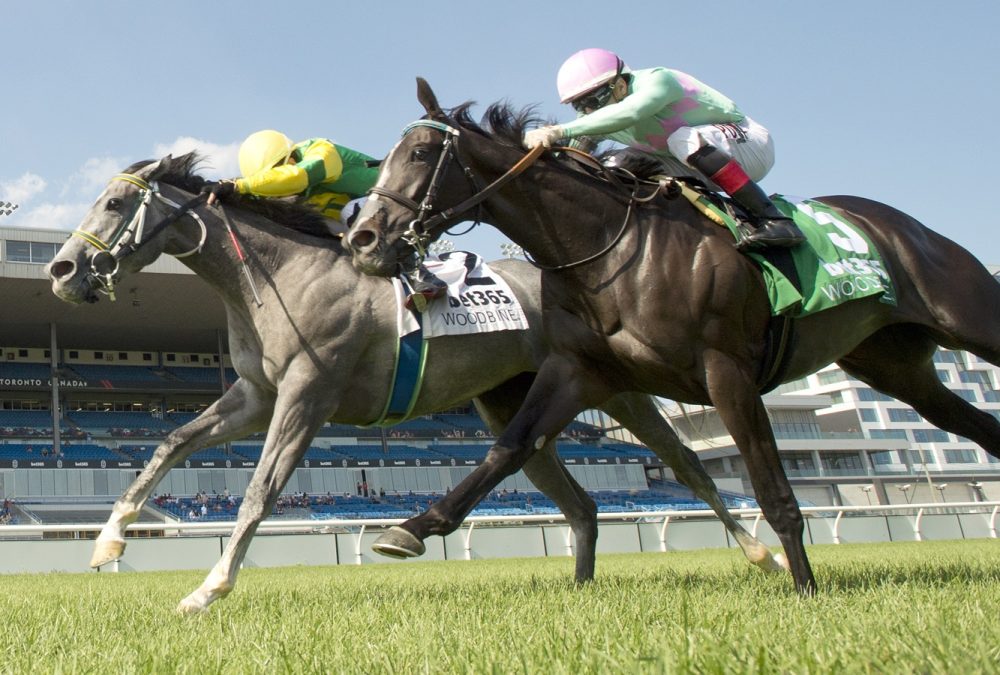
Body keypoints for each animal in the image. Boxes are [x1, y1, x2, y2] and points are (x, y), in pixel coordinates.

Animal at [47, 152, 780, 612]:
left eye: (114, 201)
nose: (62, 269)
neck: (275, 275)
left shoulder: (306, 396)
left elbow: (258, 491)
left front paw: (209, 588)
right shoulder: (256, 396)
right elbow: (169, 443)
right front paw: (109, 539)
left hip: (620, 389)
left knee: (688, 465)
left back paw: (762, 556)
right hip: (512, 405)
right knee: (579, 503)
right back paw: (580, 587)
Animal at [348, 80, 1000, 596]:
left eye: (421, 152)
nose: (362, 239)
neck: (608, 247)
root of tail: (904, 224)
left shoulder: (726, 371)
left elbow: (774, 491)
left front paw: (805, 588)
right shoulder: (579, 370)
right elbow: (509, 447)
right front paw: (411, 530)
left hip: (969, 321)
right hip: (897, 369)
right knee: (977, 427)